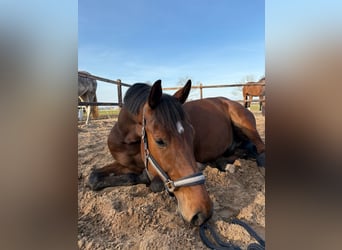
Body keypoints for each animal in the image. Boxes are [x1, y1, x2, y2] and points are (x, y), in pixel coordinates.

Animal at [87, 79, 264, 227]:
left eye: (192, 133)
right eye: (159, 140)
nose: (203, 213)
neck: (127, 140)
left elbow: (152, 183)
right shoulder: (126, 164)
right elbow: (93, 178)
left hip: (244, 123)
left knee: (260, 150)